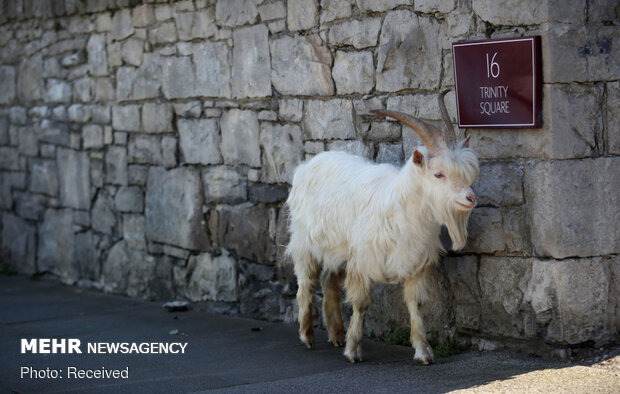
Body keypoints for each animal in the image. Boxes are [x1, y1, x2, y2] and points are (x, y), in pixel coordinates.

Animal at [286, 89, 480, 364]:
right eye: (438, 174)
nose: (470, 198)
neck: (400, 206)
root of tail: (306, 165)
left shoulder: (415, 261)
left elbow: (415, 304)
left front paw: (423, 351)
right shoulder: (363, 259)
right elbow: (360, 303)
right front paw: (353, 350)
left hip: (337, 247)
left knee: (328, 280)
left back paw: (336, 334)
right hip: (304, 240)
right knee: (306, 281)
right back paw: (307, 335)